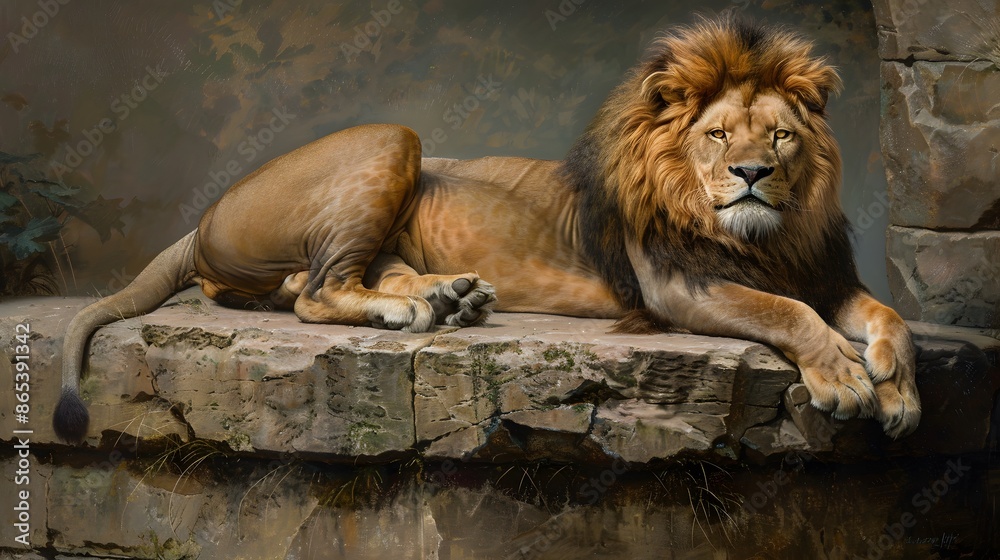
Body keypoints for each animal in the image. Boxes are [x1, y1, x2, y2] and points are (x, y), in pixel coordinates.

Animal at [53, 18, 920, 445]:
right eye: (716, 136)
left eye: (779, 136)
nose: (751, 174)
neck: (764, 237)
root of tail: (202, 217)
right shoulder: (680, 287)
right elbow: (786, 313)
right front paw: (844, 380)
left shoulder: (828, 274)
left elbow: (889, 316)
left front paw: (898, 387)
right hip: (390, 137)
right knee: (313, 291)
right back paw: (412, 310)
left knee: (336, 278)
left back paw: (453, 298)